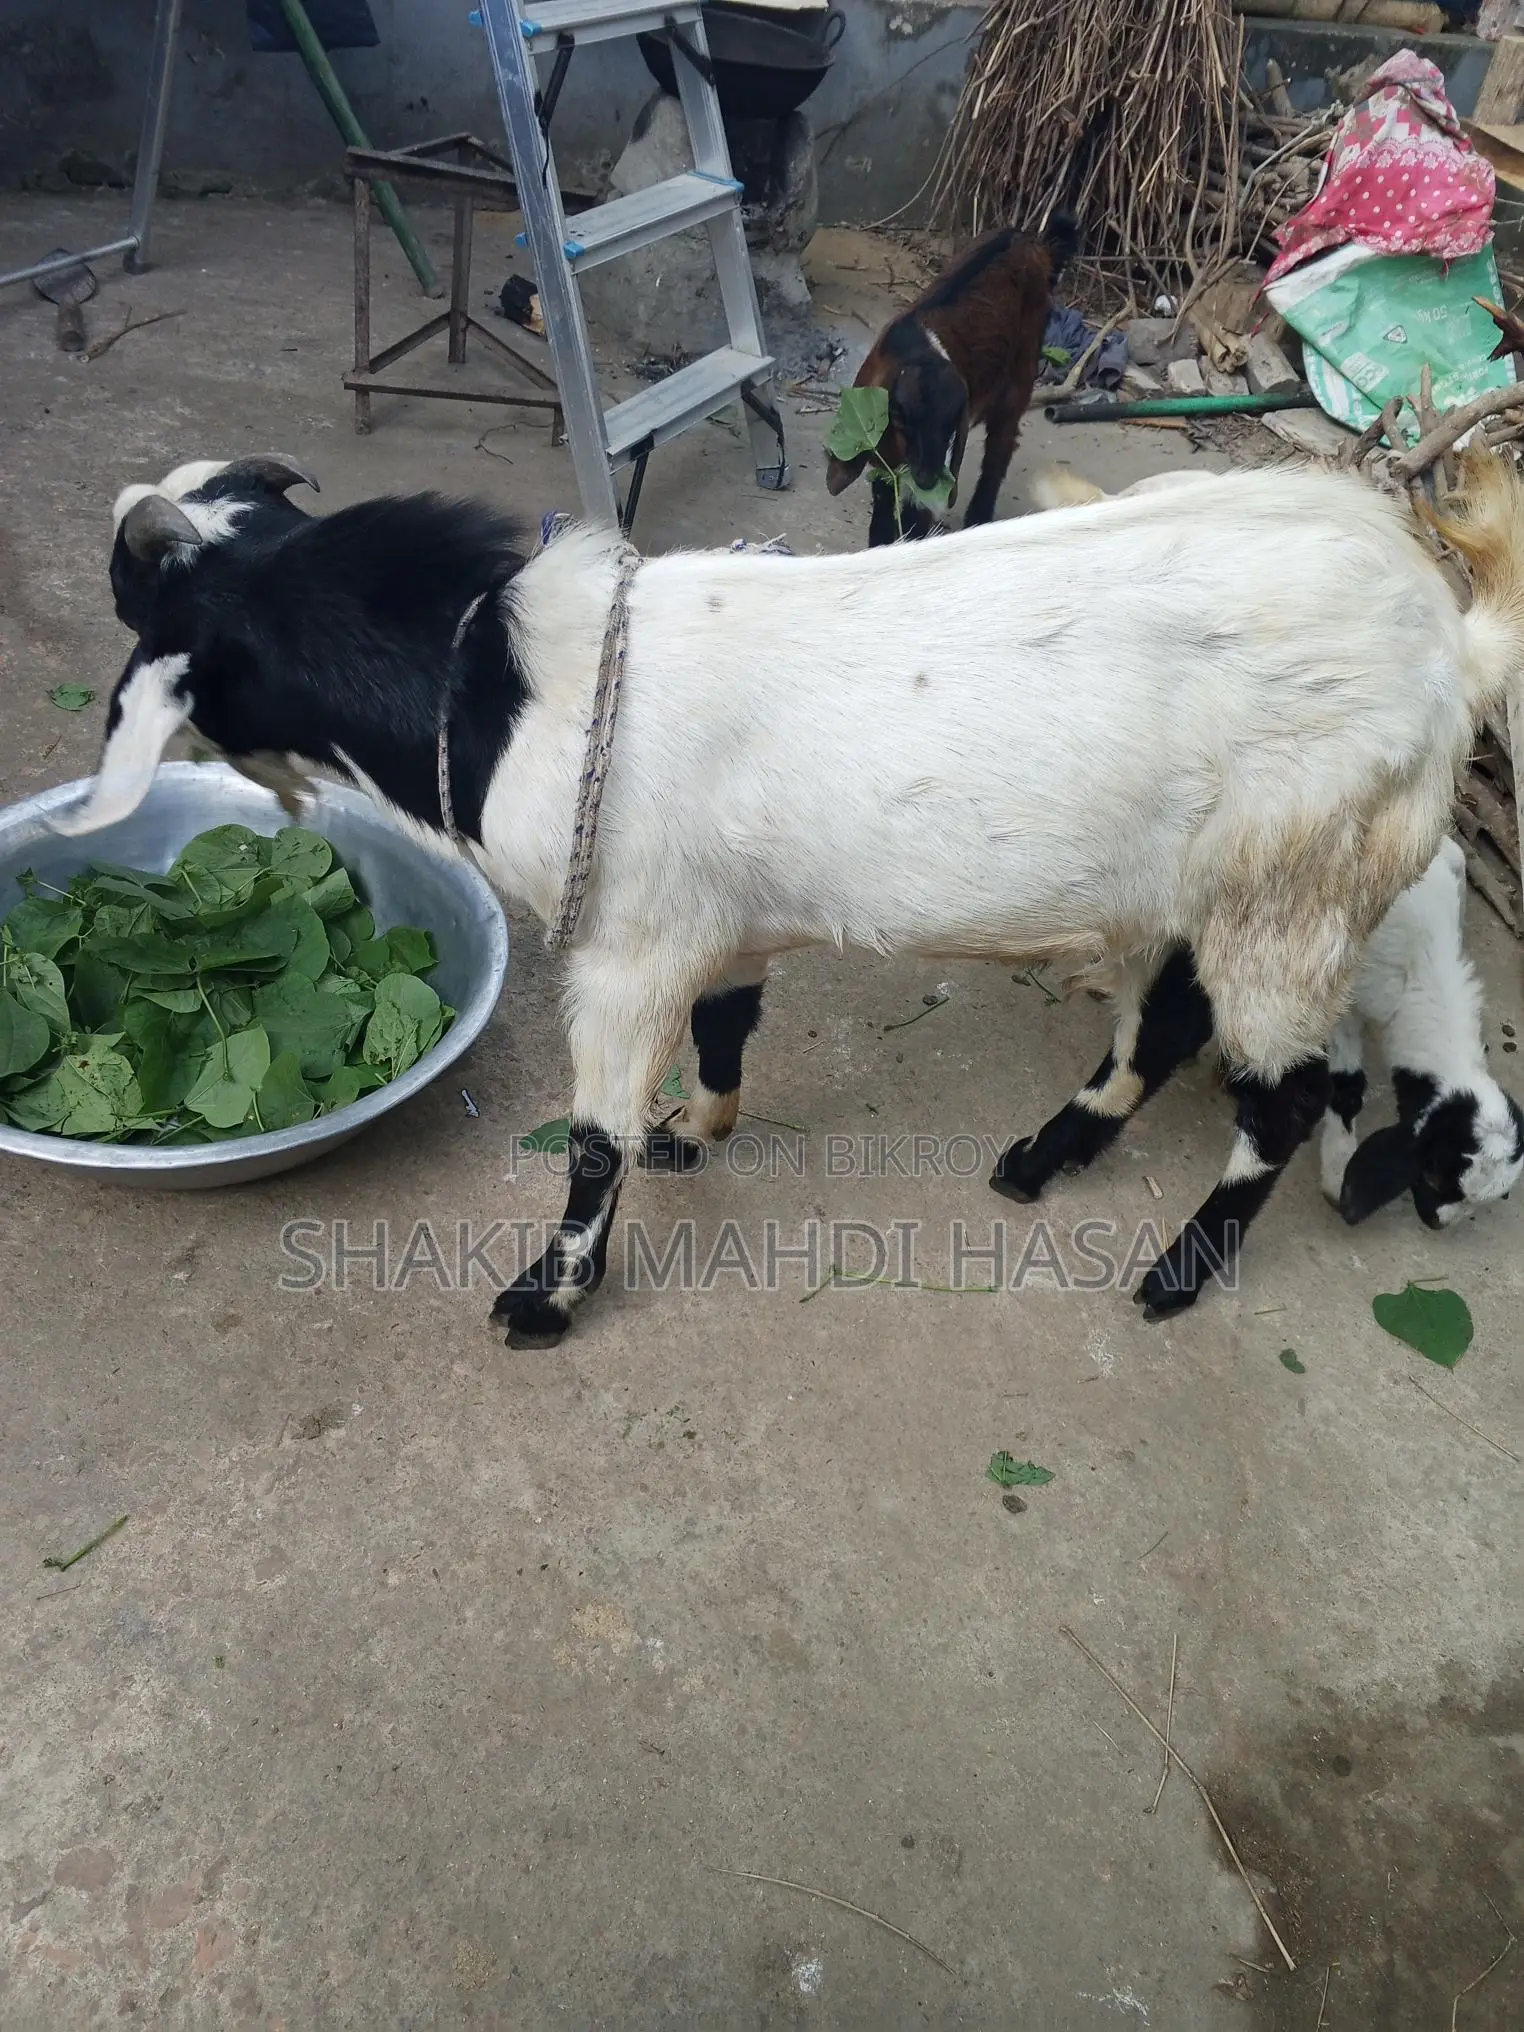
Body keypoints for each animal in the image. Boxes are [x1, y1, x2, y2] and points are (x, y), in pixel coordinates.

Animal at [825, 216, 1075, 546]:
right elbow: (883, 494)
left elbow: (919, 511)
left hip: (1022, 369)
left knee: (1000, 447)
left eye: (950, 424)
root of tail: (1032, 241)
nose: (927, 478)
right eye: (899, 418)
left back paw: (979, 517)